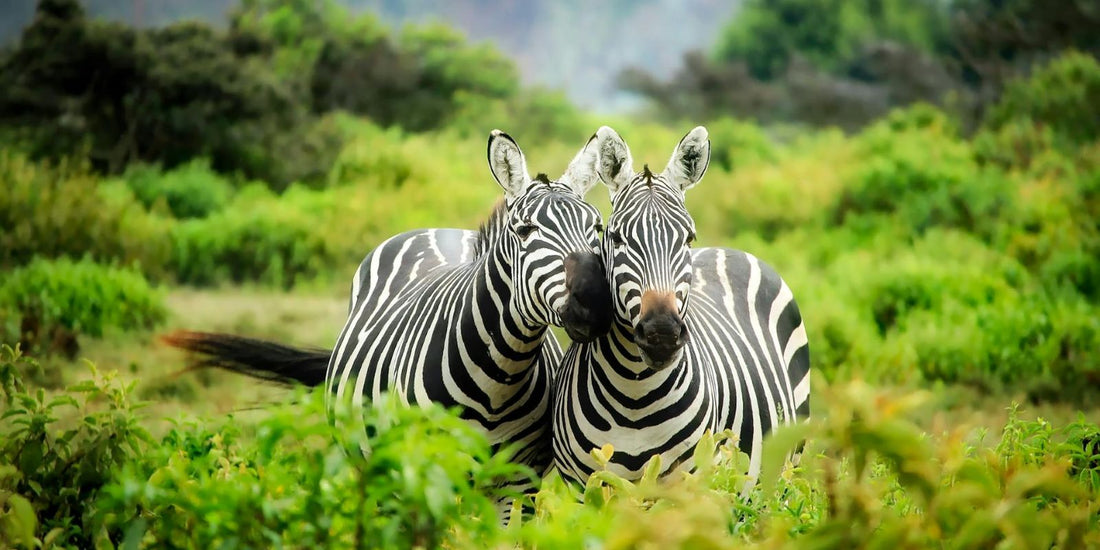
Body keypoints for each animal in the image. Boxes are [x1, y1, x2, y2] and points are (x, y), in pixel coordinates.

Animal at [163, 129, 616, 490]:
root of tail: (437, 229)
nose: (596, 302)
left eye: (597, 227)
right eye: (525, 231)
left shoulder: (517, 483)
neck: (499, 378)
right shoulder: (425, 471)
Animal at [550, 127, 809, 486]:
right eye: (616, 238)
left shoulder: (689, 484)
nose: (662, 334)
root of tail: (728, 250)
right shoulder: (583, 486)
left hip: (787, 466)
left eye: (688, 238)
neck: (634, 395)